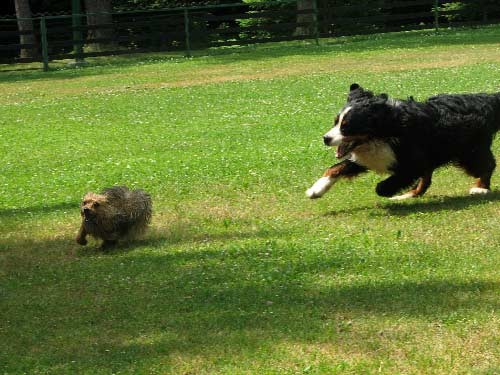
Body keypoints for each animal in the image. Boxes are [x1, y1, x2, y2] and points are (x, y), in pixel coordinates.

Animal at [304, 84, 500, 201]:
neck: (384, 131)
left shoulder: (411, 163)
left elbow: (386, 184)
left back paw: (481, 188)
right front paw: (316, 189)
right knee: (426, 180)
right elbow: (335, 168)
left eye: (346, 126)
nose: (326, 138)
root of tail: (486, 99)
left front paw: (385, 189)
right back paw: (408, 195)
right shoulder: (370, 157)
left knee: (488, 165)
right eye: (336, 122)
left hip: (469, 153)